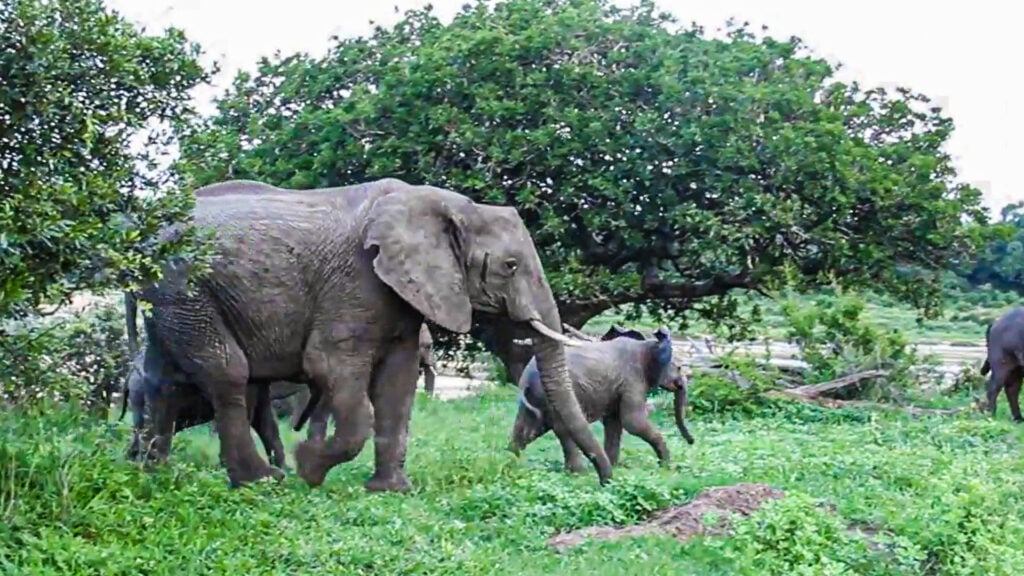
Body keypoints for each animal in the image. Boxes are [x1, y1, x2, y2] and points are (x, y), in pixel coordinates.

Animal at [131, 177, 611, 490]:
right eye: (510, 267)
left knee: (163, 379)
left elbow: (397, 384)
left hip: (172, 298)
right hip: (187, 287)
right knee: (228, 374)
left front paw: (392, 489)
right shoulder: (355, 283)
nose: (605, 479)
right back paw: (263, 481)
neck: (450, 205)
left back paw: (153, 472)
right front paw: (309, 468)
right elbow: (333, 371)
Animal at [509, 326, 695, 472]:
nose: (691, 441)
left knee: (529, 427)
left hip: (536, 397)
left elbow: (614, 423)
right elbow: (633, 422)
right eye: (679, 368)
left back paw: (512, 460)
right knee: (561, 428)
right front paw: (666, 466)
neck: (649, 345)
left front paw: (614, 466)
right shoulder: (633, 380)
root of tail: (525, 378)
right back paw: (578, 472)